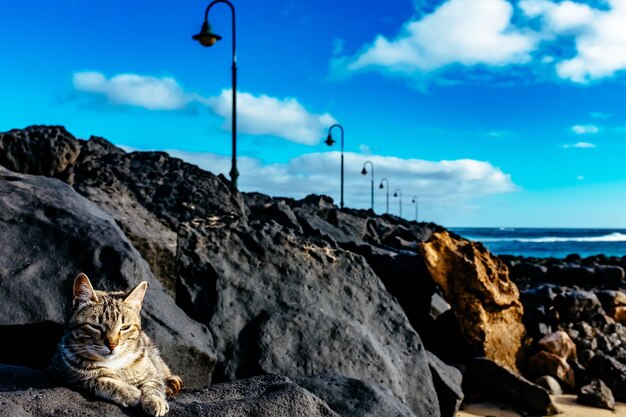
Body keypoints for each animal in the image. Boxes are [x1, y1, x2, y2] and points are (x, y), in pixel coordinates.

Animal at [49, 272, 182, 414]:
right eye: (96, 327)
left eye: (125, 327)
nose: (112, 345)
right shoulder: (64, 374)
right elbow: (100, 380)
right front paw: (128, 391)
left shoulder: (152, 372)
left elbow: (153, 385)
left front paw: (155, 400)